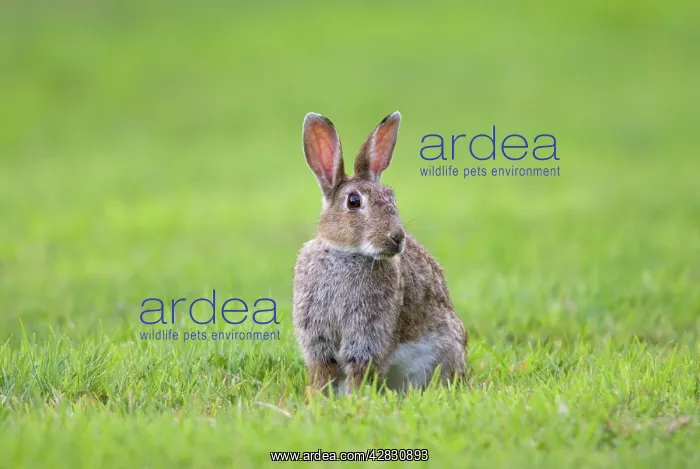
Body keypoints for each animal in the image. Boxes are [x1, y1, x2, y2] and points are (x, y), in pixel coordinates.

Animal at [292, 111, 467, 395]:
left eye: (391, 197)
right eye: (353, 201)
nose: (397, 238)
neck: (347, 253)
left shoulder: (368, 334)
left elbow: (359, 368)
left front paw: (354, 398)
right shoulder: (318, 336)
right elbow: (323, 370)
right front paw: (320, 398)